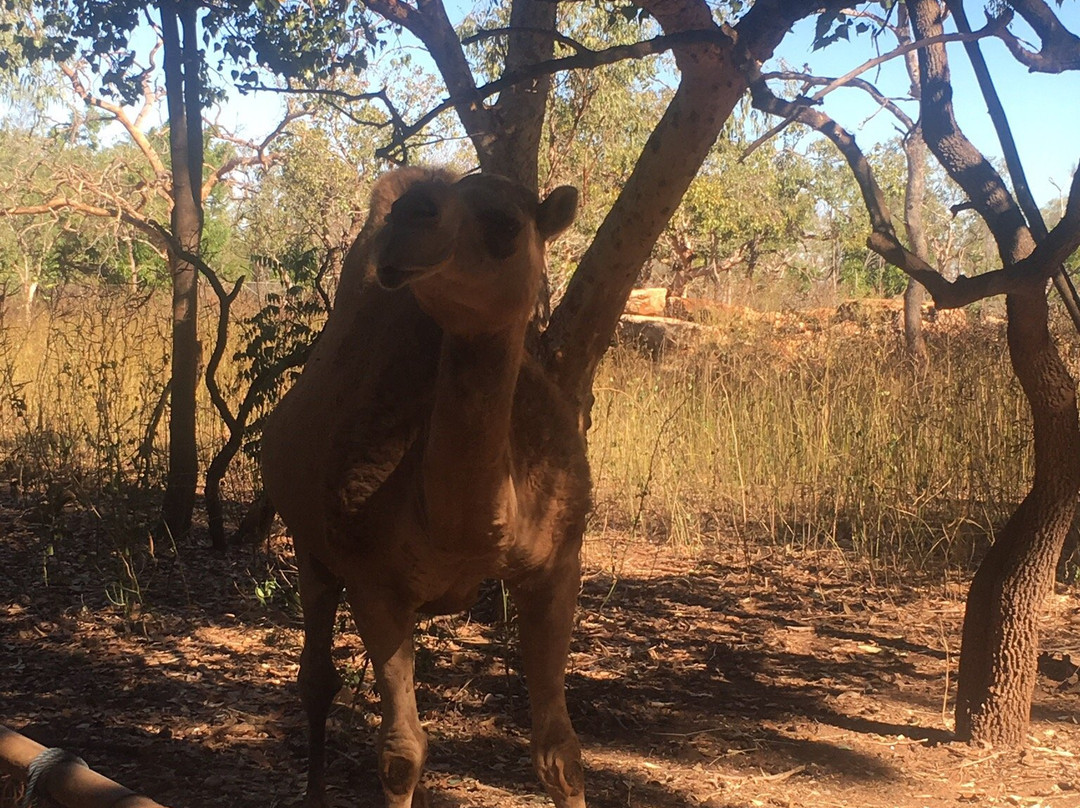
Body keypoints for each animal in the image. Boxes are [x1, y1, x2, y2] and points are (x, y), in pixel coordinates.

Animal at [263, 164, 591, 808]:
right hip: (311, 547)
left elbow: (560, 752)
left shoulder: (556, 566)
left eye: (506, 224)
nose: (409, 216)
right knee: (316, 677)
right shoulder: (374, 582)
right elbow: (401, 754)